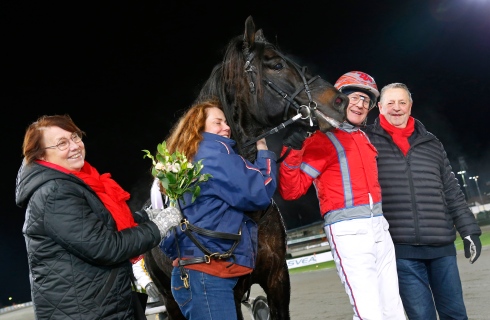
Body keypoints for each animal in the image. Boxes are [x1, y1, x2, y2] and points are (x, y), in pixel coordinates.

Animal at [143, 15, 348, 320]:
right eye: (276, 65)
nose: (339, 101)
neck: (249, 213)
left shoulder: (277, 277)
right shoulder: (229, 291)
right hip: (170, 299)